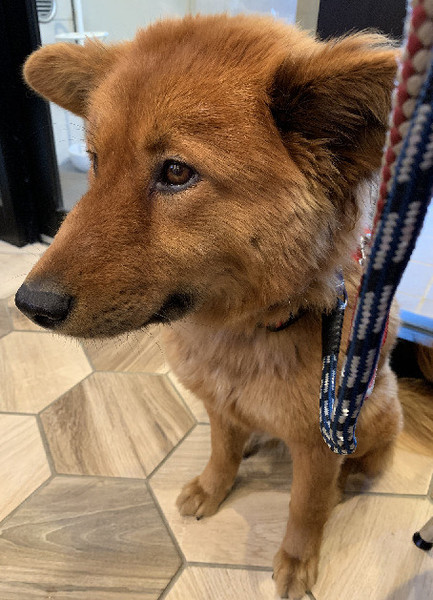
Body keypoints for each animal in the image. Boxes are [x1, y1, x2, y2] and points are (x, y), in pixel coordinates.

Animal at [16, 14, 429, 598]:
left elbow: (306, 505)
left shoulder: (317, 442)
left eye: (175, 172)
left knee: (372, 455)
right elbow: (220, 448)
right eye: (96, 162)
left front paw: (297, 558)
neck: (243, 331)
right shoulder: (216, 403)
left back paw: (352, 476)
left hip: (370, 412)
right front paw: (214, 487)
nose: (30, 304)